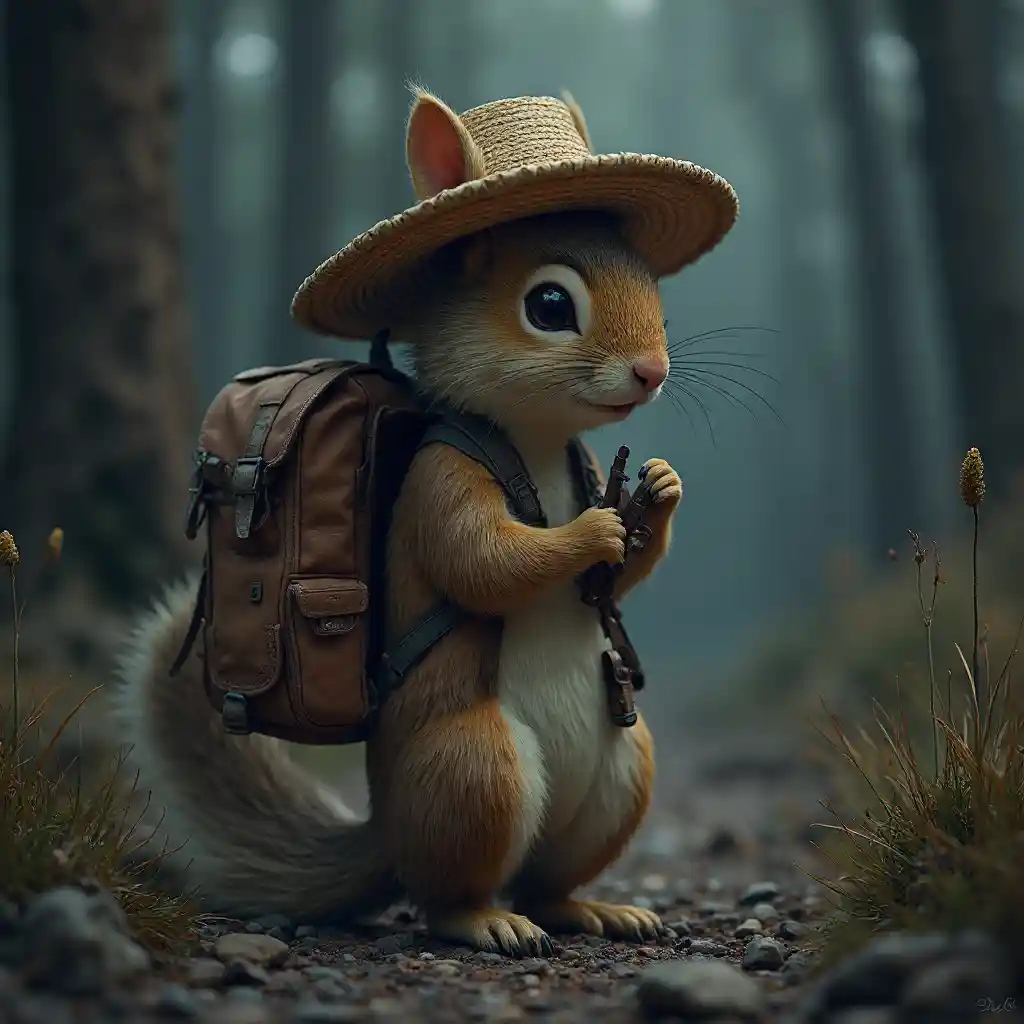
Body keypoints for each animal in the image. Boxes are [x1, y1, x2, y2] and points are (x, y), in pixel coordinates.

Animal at [110, 88, 736, 956]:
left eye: (657, 294)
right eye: (549, 304)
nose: (652, 371)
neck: (532, 440)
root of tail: (389, 831)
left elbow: (615, 578)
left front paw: (663, 490)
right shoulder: (442, 477)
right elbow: (480, 559)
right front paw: (589, 534)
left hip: (622, 768)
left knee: (548, 882)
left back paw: (593, 909)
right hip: (472, 770)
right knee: (447, 892)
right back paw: (486, 921)